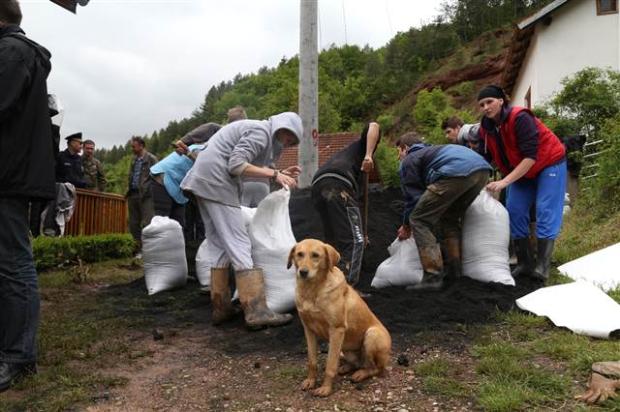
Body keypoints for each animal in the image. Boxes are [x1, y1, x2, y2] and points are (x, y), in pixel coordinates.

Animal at [286, 240, 392, 398]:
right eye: (299, 254)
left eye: (315, 255)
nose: (303, 272)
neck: (312, 290)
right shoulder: (309, 330)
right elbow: (312, 361)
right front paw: (311, 381)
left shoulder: (337, 329)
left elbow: (330, 365)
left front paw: (325, 388)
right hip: (345, 349)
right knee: (356, 363)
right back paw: (346, 368)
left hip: (372, 335)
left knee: (375, 368)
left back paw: (360, 374)